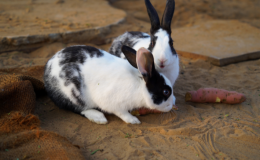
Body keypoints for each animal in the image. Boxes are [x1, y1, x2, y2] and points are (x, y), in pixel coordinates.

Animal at [44, 44, 175, 124]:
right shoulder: (113, 102)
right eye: (166, 91)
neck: (140, 85)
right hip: (73, 94)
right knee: (77, 109)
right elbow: (121, 112)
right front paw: (133, 120)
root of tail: (47, 71)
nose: (173, 103)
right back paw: (98, 117)